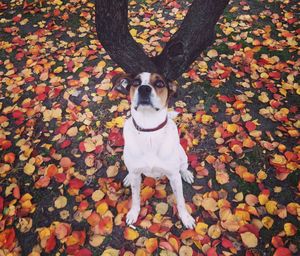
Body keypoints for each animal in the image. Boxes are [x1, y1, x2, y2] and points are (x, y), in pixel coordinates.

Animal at [112, 71, 195, 228]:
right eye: (136, 82)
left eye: (160, 83)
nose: (144, 89)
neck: (149, 130)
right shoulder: (136, 175)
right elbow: (135, 197)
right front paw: (133, 213)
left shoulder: (174, 176)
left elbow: (181, 200)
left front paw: (186, 218)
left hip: (182, 155)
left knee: (183, 166)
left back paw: (186, 173)